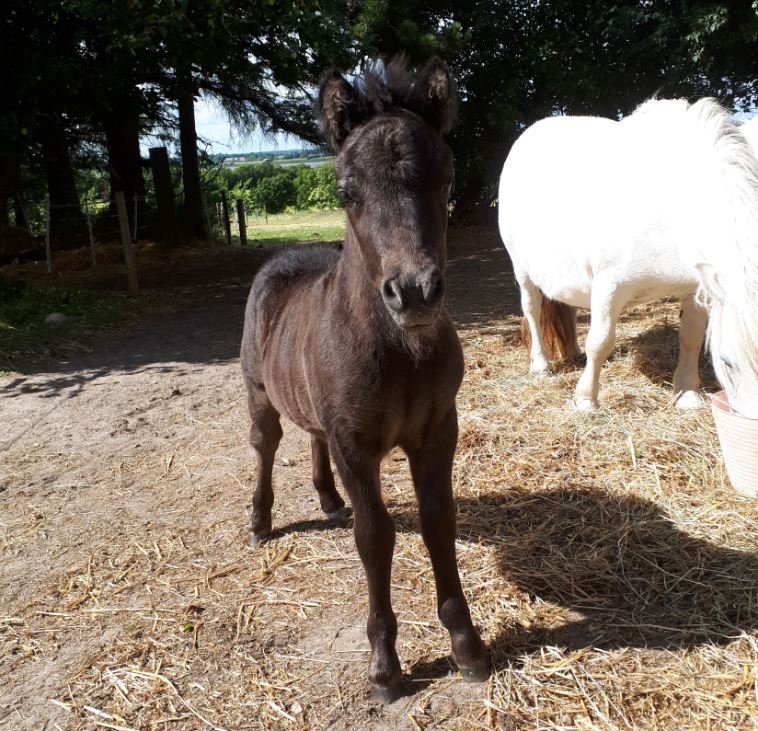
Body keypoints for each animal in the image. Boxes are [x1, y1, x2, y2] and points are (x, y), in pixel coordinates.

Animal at [240, 58, 489, 702]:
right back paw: (260, 521)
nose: (415, 293)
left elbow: (438, 523)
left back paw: (328, 499)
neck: (399, 353)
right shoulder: (356, 445)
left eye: (447, 180)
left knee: (311, 436)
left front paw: (467, 646)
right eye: (345, 192)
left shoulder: (437, 432)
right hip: (258, 394)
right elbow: (375, 539)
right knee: (266, 446)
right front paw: (384, 666)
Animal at [498, 98, 758, 416]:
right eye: (727, 362)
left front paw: (687, 393)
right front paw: (586, 399)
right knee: (532, 309)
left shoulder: (696, 288)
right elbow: (600, 342)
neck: (671, 207)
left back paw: (573, 353)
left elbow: (691, 336)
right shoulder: (609, 287)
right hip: (522, 270)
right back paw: (541, 365)